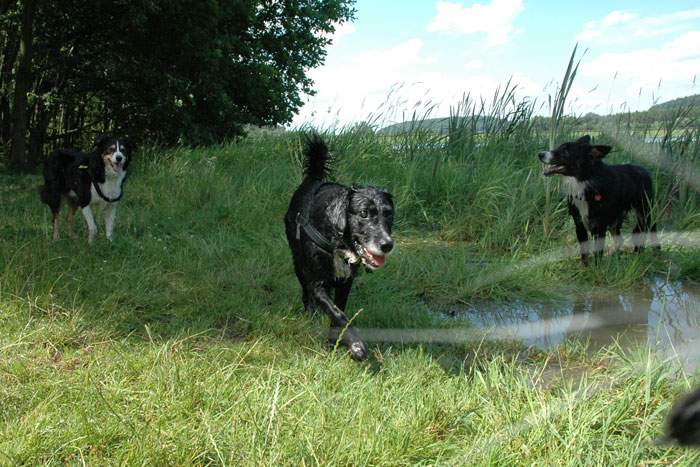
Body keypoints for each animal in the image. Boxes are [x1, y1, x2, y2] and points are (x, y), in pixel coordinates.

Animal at [284, 135, 394, 362]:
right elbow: (337, 313)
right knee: (305, 292)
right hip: (298, 262)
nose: (387, 244)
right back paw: (310, 314)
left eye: (388, 214)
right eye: (364, 213)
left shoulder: (346, 281)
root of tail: (312, 179)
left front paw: (334, 341)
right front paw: (357, 345)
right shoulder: (317, 282)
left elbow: (340, 312)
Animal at [540, 135, 660, 266]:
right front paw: (585, 267)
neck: (584, 182)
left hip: (645, 212)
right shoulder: (579, 223)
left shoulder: (600, 225)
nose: (540, 154)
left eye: (565, 151)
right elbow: (584, 251)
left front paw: (597, 268)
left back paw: (644, 253)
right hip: (615, 219)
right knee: (621, 239)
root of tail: (644, 170)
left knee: (646, 230)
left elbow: (598, 252)